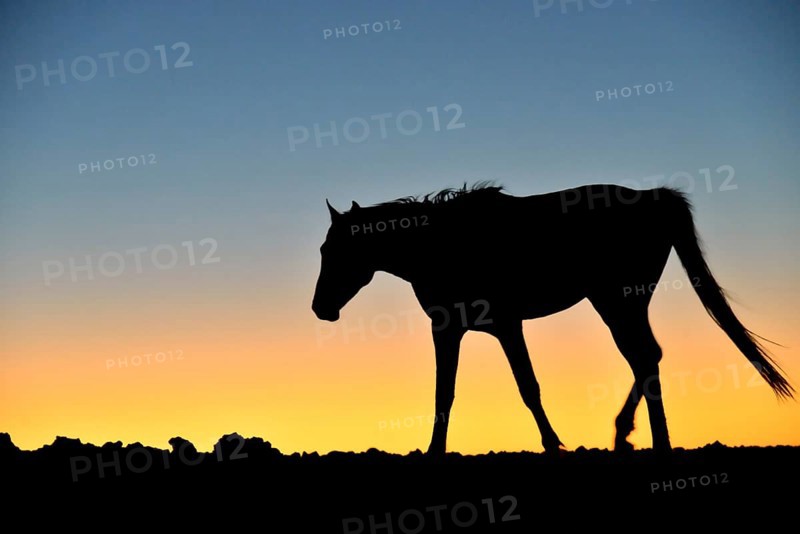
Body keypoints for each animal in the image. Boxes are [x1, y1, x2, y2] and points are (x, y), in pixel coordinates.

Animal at [311, 182, 794, 455]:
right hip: (623, 303)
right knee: (647, 358)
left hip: (616, 301)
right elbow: (444, 393)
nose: (321, 309)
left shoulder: (503, 326)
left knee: (643, 357)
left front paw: (552, 444)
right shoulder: (450, 329)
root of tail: (654, 199)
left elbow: (526, 387)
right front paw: (434, 451)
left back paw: (643, 439)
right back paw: (638, 436)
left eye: (333, 250)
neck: (437, 246)